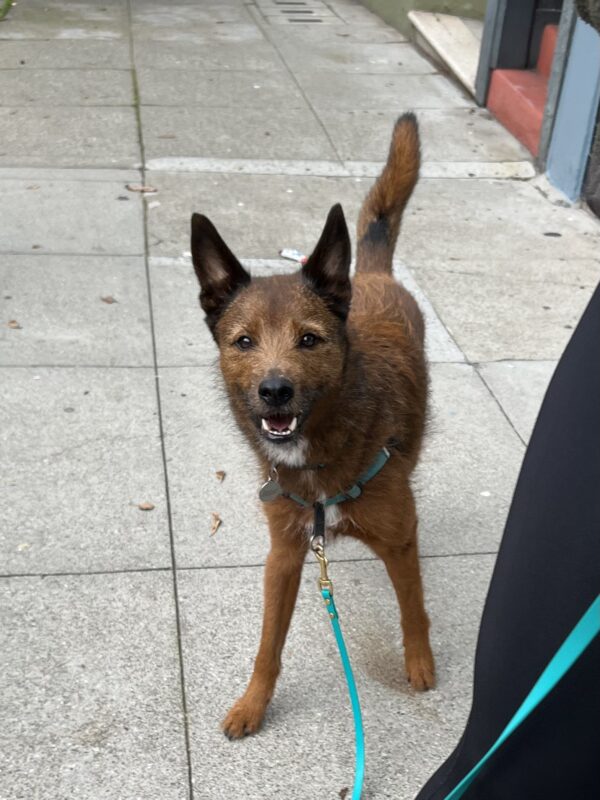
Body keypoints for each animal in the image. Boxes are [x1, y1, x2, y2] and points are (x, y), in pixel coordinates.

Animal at [192, 111, 436, 736]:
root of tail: (368, 274)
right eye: (244, 341)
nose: (274, 391)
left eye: (309, 339)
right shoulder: (284, 557)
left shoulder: (401, 541)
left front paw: (421, 664)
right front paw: (254, 704)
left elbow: (414, 609)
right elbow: (267, 646)